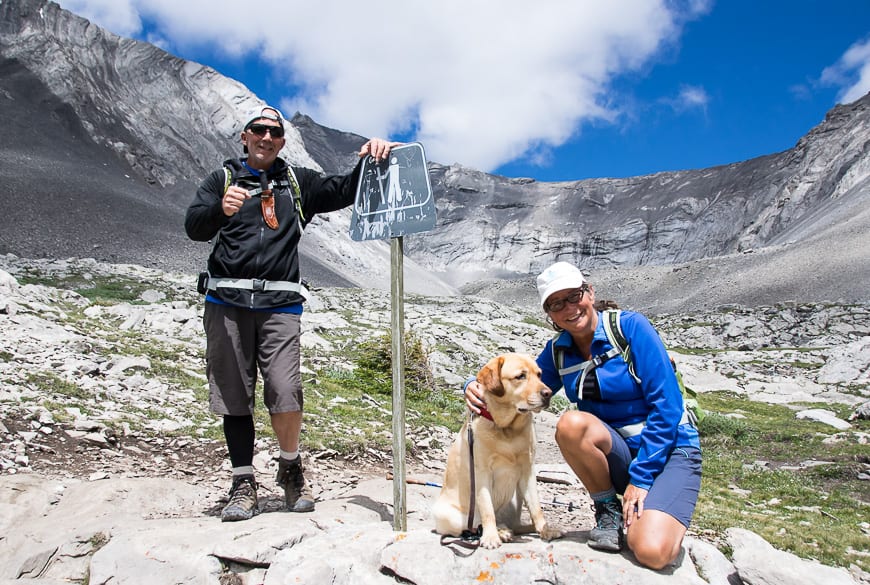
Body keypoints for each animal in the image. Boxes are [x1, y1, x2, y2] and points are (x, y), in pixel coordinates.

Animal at [434, 352, 564, 548]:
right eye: (520, 376)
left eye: (539, 374)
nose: (548, 393)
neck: (506, 428)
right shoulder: (481, 472)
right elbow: (487, 509)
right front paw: (491, 537)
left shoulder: (528, 469)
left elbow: (536, 507)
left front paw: (545, 530)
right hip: (448, 515)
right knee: (475, 526)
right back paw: (499, 533)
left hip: (515, 499)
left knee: (514, 525)